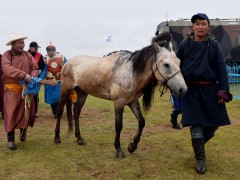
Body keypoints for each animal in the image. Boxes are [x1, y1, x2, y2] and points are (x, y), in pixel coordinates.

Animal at [54, 31, 188, 158]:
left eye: (179, 62)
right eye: (166, 64)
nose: (183, 89)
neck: (131, 72)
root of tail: (68, 62)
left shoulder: (132, 102)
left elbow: (141, 122)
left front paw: (132, 146)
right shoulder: (119, 103)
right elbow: (119, 126)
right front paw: (119, 150)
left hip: (82, 93)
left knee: (76, 113)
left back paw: (79, 138)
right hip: (65, 90)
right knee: (60, 112)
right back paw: (57, 138)